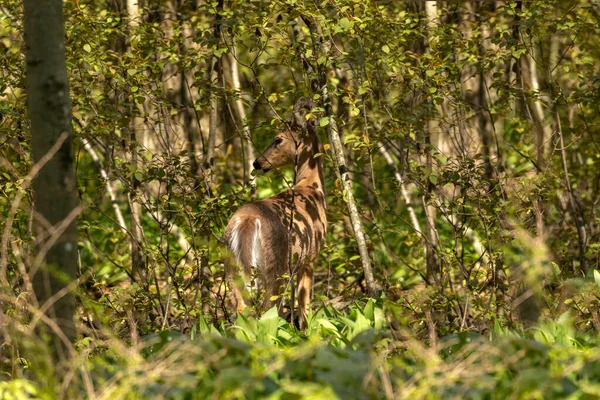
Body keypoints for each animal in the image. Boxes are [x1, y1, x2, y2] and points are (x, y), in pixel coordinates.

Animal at [224, 97, 328, 328]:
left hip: (231, 265)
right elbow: (305, 307)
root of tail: (247, 220)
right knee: (267, 309)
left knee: (241, 307)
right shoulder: (309, 257)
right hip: (276, 265)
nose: (257, 162)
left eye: (278, 139)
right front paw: (306, 332)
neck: (311, 187)